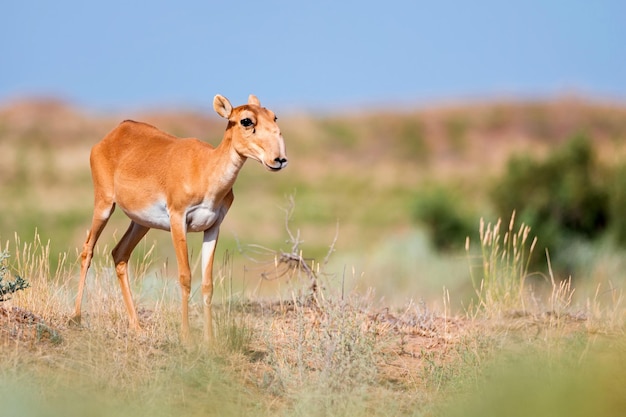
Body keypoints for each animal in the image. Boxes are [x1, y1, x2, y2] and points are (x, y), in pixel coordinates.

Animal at [72, 94, 286, 342]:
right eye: (246, 121)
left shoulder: (213, 228)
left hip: (141, 223)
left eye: (273, 116)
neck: (205, 169)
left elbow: (207, 283)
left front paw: (209, 340)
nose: (279, 159)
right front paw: (187, 337)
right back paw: (75, 317)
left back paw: (137, 326)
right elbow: (185, 277)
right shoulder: (178, 221)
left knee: (119, 254)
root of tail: (117, 131)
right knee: (88, 250)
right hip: (104, 205)